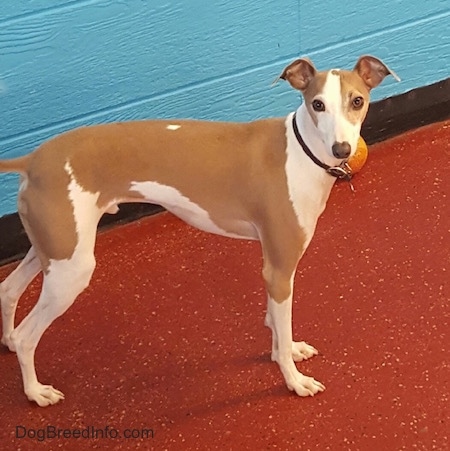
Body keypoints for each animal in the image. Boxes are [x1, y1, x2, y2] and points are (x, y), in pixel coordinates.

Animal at [0, 55, 400, 406]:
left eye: (357, 101)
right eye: (317, 104)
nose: (342, 148)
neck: (301, 153)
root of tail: (32, 160)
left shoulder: (272, 267)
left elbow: (275, 324)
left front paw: (286, 350)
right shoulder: (280, 268)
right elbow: (282, 327)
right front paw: (294, 381)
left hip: (52, 250)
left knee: (8, 291)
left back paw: (6, 340)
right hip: (71, 269)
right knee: (27, 336)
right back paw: (35, 392)